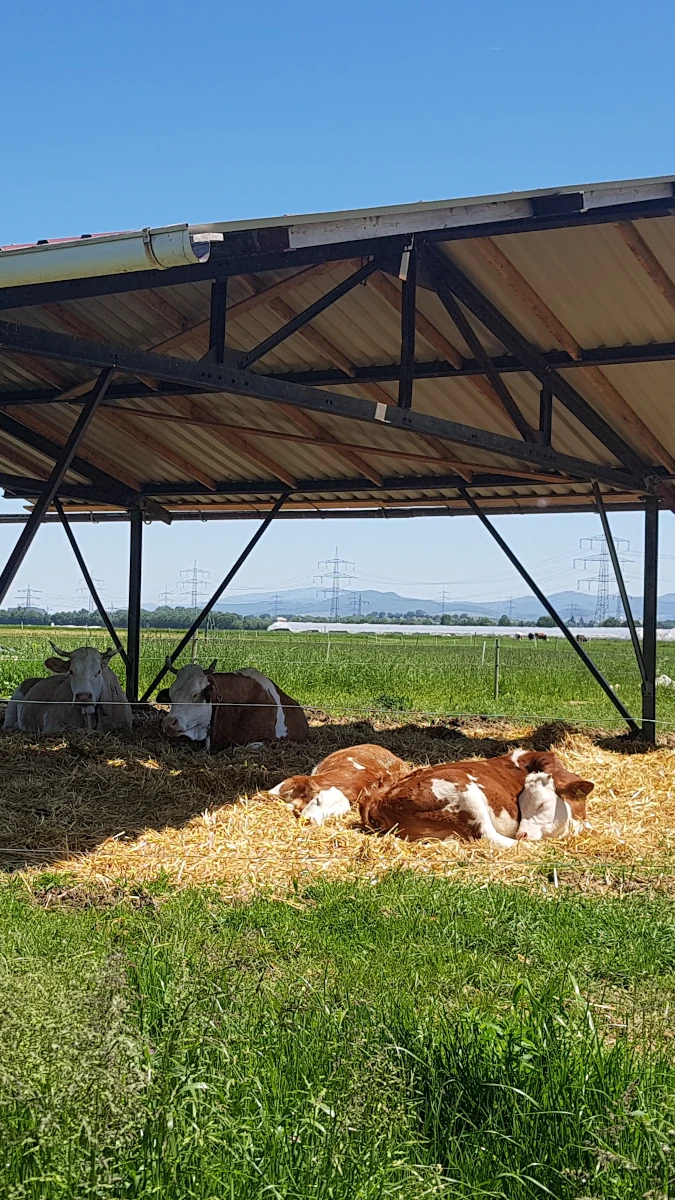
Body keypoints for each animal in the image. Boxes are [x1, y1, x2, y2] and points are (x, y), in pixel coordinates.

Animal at [361, 748, 593, 846]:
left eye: (542, 804)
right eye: (521, 805)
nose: (522, 834)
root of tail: (380, 799)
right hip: (465, 794)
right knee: (492, 837)